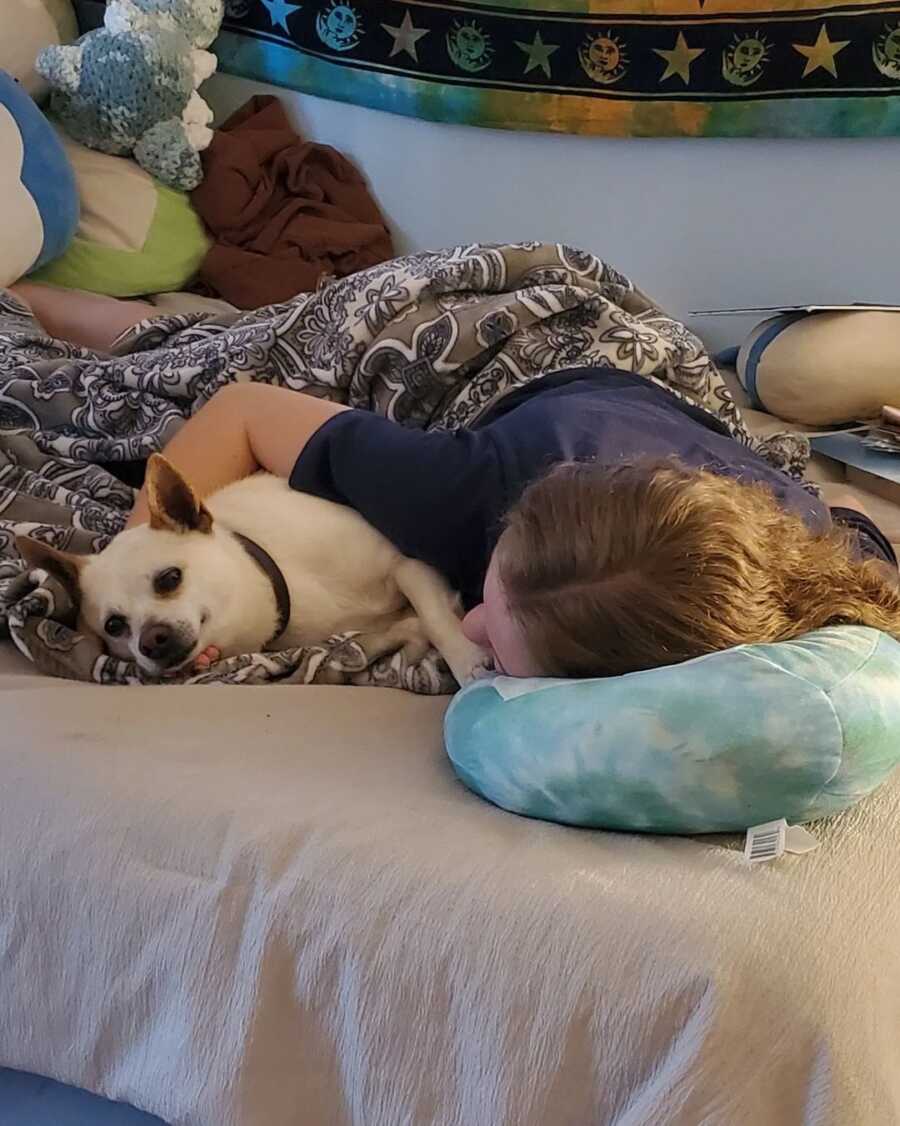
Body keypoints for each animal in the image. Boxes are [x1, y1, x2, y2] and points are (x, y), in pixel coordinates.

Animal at [15, 452, 493, 680]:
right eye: (114, 626)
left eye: (170, 579)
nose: (150, 641)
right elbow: (410, 625)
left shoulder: (409, 563)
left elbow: (435, 619)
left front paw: (468, 659)